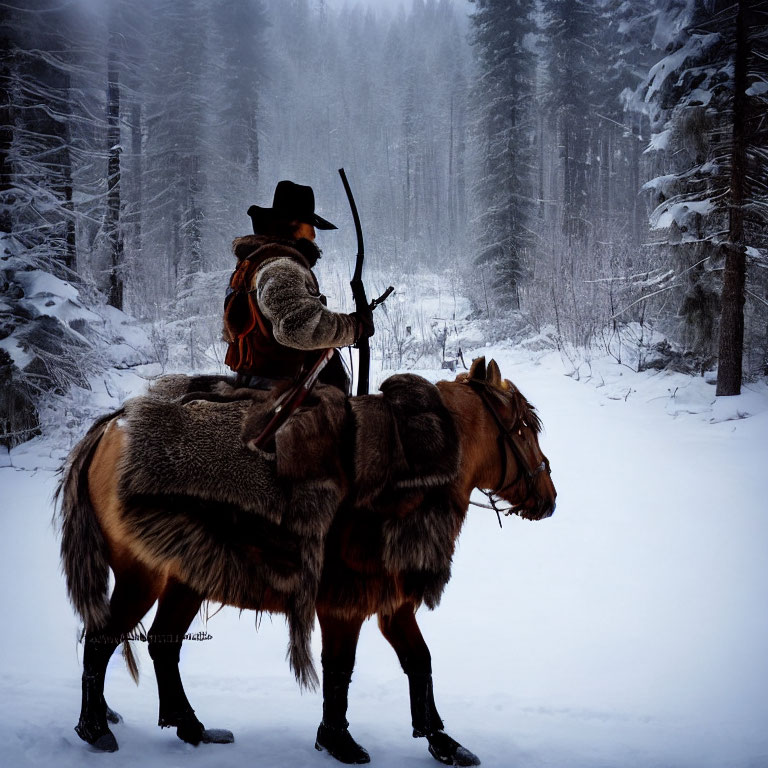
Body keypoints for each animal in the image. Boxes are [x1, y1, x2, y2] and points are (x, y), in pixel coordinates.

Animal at [57, 356, 556, 764]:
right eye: (525, 428)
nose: (549, 499)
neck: (416, 471)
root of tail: (113, 425)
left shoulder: (393, 604)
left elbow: (419, 661)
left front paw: (442, 742)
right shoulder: (345, 603)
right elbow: (339, 668)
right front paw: (338, 741)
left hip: (186, 575)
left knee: (163, 644)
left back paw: (192, 729)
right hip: (142, 576)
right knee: (100, 640)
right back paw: (95, 728)